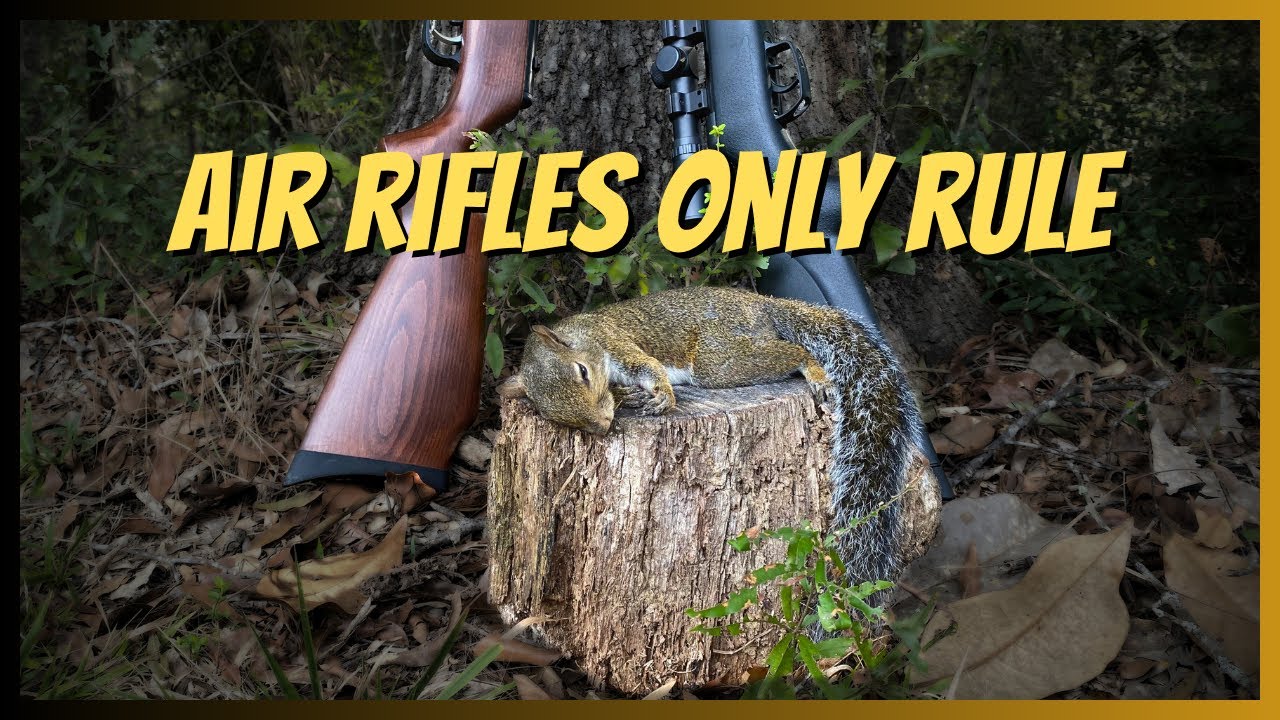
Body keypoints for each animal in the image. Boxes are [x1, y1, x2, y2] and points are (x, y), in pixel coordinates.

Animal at [497, 285, 925, 591]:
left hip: (720, 356)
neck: (583, 333)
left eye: (583, 372)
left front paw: (662, 395)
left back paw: (815, 371)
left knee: (793, 351)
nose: (601, 426)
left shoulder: (615, 342)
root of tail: (764, 305)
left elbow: (646, 366)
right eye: (558, 417)